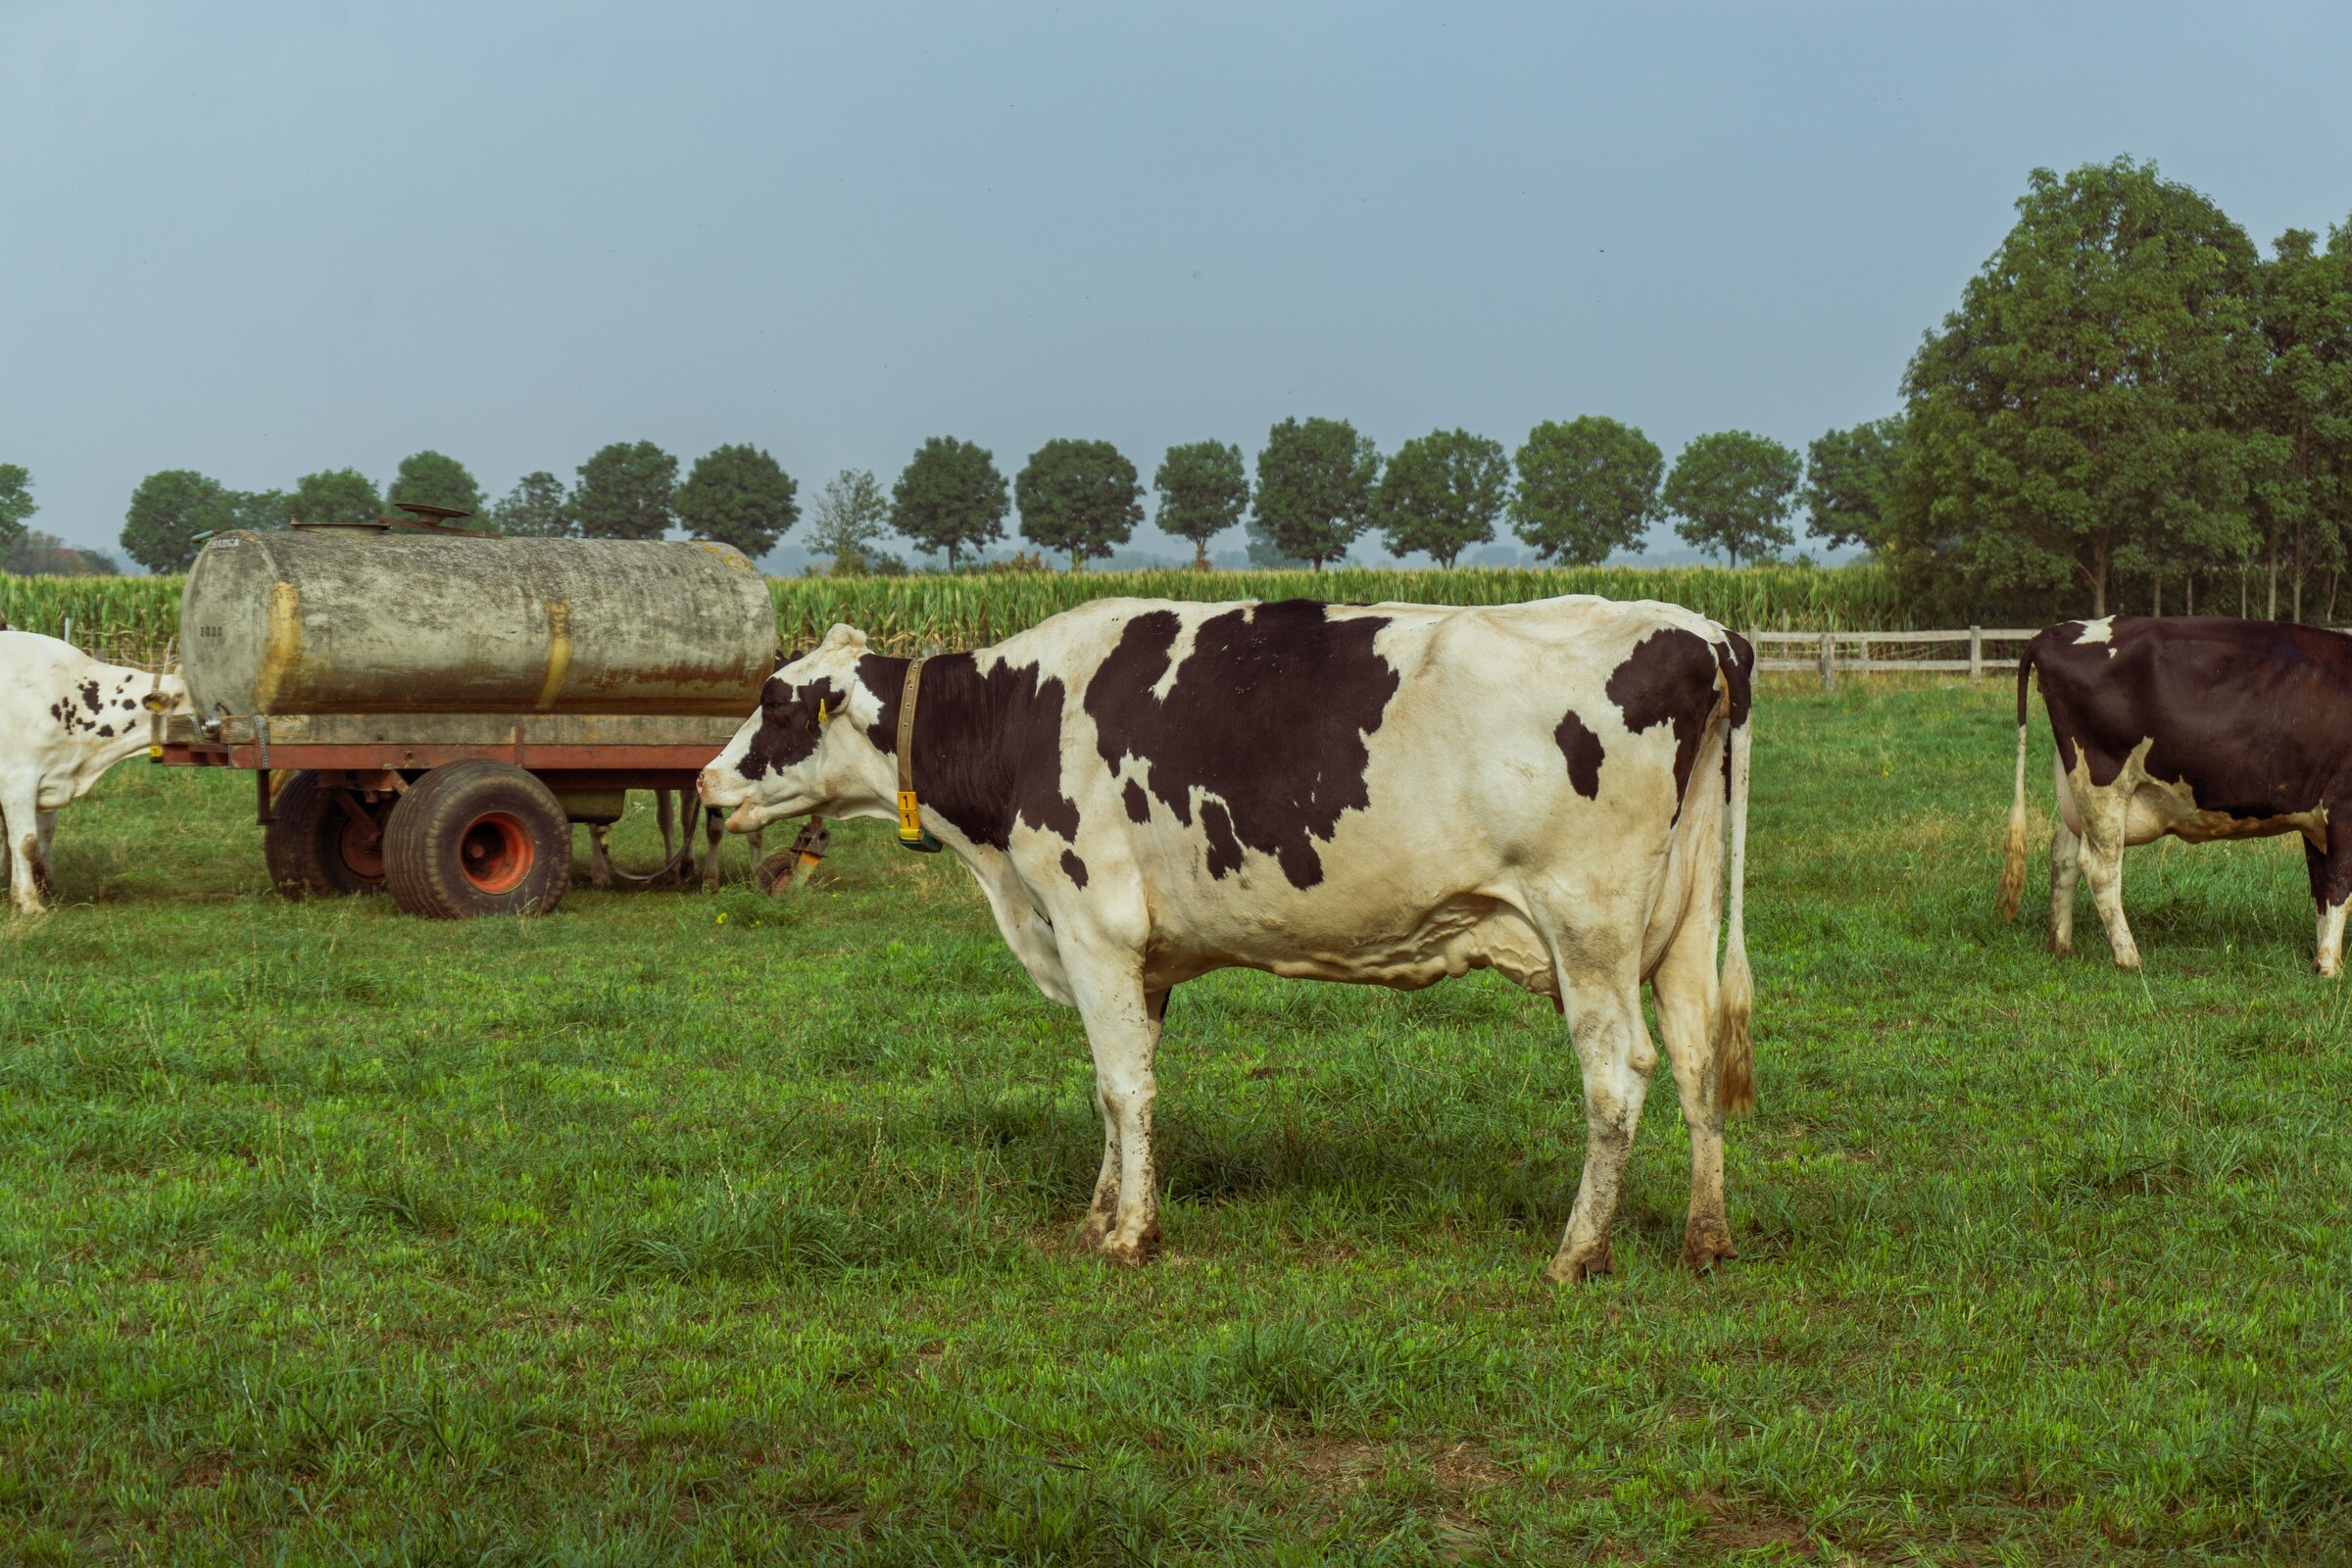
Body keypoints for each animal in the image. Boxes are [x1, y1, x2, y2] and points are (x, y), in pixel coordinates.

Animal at [0, 630, 191, 913]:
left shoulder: (50, 778)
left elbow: (42, 836)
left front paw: (41, 888)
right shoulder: (18, 782)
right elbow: (25, 842)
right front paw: (30, 904)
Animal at [699, 595, 1755, 1282]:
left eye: (777, 701)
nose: (706, 781)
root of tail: (1707, 632)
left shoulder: (1093, 925)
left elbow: (1124, 1088)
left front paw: (1132, 1237)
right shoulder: (1140, 959)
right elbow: (1116, 1089)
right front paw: (1099, 1214)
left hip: (1589, 927)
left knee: (1620, 1074)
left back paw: (1577, 1252)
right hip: (1684, 922)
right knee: (1698, 1058)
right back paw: (1704, 1238)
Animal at [1999, 614, 2352, 973]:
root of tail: (2059, 630)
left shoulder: (2315, 819)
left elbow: (2321, 889)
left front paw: (2320, 955)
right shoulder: (2341, 808)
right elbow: (2339, 885)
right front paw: (2329, 965)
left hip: (2077, 792)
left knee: (2065, 853)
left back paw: (2061, 944)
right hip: (2104, 784)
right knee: (2100, 867)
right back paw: (2129, 957)